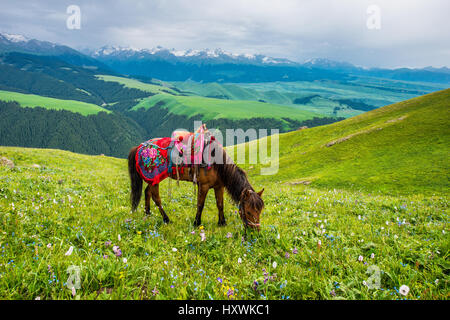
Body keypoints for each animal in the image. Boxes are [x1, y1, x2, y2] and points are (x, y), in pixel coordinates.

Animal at [126, 125, 264, 230]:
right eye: (249, 211)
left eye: (260, 211)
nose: (255, 231)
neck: (216, 163)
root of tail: (139, 147)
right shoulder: (204, 186)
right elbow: (200, 204)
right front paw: (197, 223)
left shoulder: (219, 186)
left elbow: (220, 204)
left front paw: (222, 223)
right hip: (154, 179)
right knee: (156, 198)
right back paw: (166, 219)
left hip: (154, 180)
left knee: (147, 192)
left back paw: (148, 214)